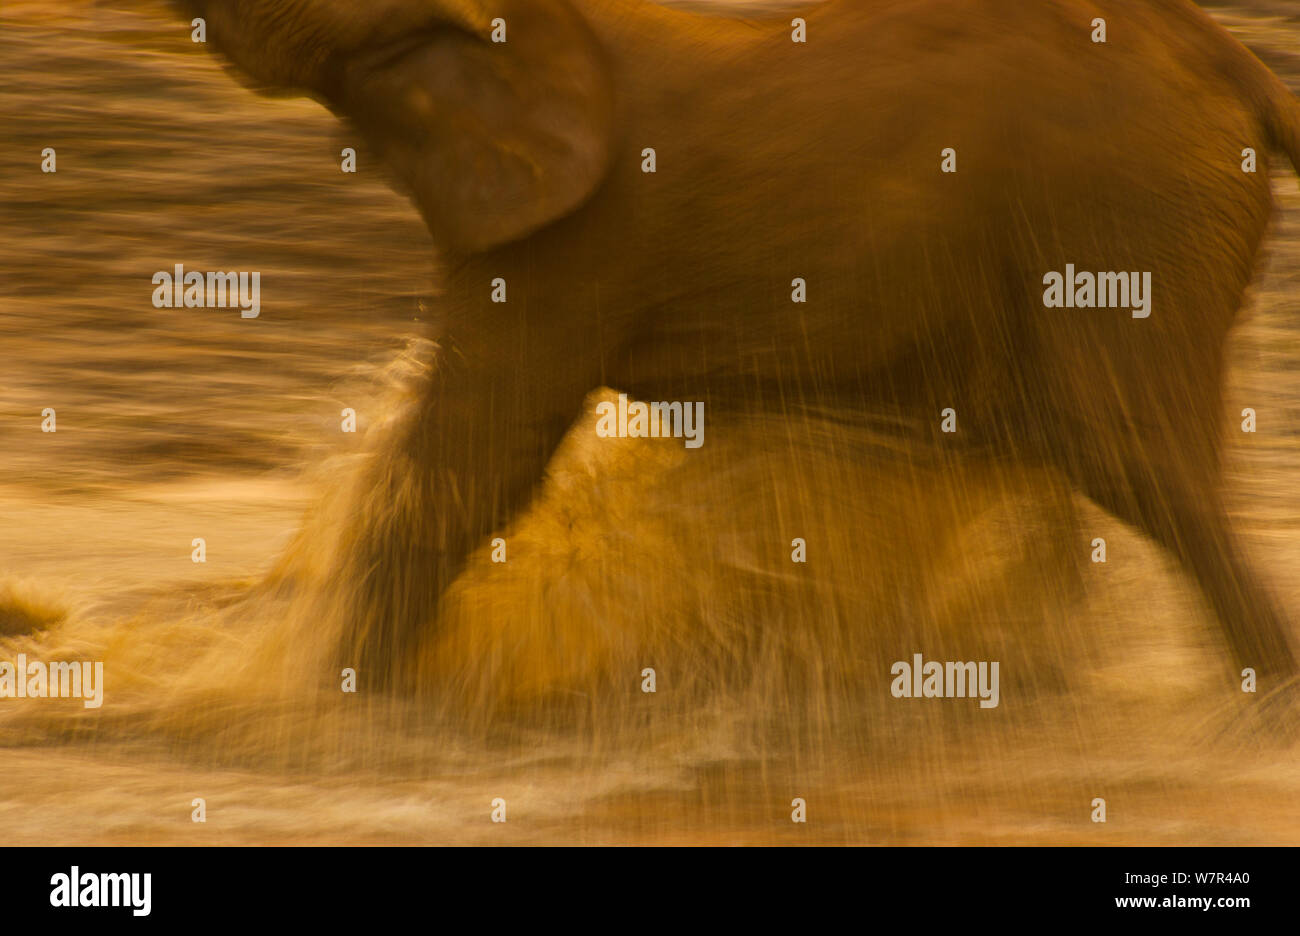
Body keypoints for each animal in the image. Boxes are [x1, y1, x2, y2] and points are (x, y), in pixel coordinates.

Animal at [177, 0, 1300, 690]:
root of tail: (1242, 68)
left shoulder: (577, 237)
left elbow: (463, 466)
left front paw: (322, 706)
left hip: (1121, 209)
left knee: (1132, 460)